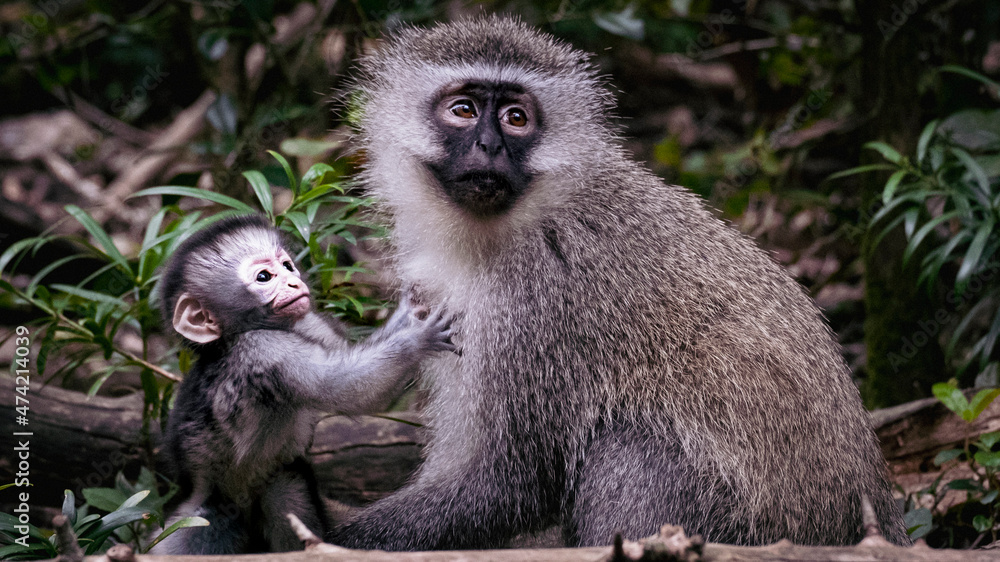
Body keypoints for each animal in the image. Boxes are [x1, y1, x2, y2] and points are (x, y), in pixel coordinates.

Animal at [150, 214, 454, 555]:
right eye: (264, 277)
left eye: (288, 266)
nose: (295, 283)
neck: (229, 342)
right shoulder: (264, 348)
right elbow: (345, 388)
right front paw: (418, 339)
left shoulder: (306, 320)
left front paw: (407, 315)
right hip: (201, 515)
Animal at [330, 16, 910, 550]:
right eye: (464, 111)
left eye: (517, 119)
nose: (490, 146)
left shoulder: (541, 293)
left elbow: (507, 481)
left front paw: (332, 533)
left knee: (629, 449)